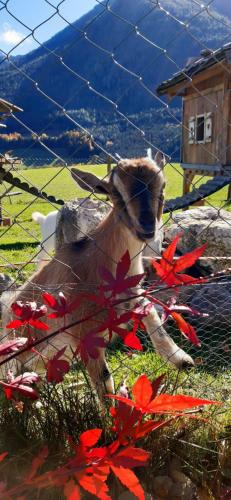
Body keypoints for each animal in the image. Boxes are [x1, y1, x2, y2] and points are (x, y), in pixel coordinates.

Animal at [4, 154, 193, 396]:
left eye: (162, 186)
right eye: (115, 193)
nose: (147, 226)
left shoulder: (130, 296)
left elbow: (150, 311)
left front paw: (180, 358)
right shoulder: (85, 332)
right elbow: (104, 381)